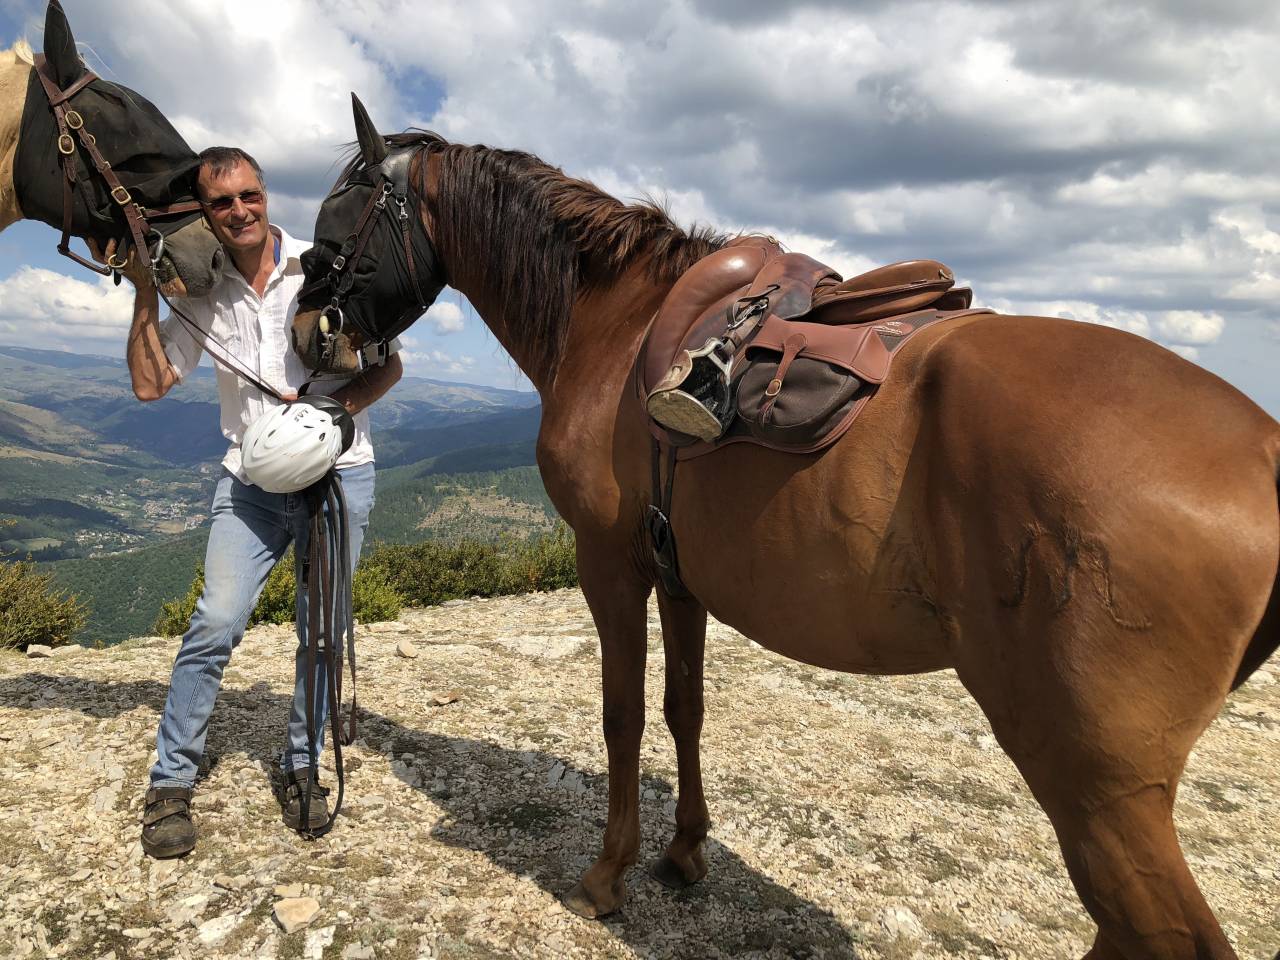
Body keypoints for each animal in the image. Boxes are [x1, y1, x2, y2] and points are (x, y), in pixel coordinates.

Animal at [290, 96, 1280, 960]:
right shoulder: (677, 569)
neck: (613, 322)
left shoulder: (609, 563)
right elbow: (683, 707)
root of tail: (1266, 451)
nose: (304, 330)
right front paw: (685, 850)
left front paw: (608, 875)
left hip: (1100, 786)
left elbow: (621, 715)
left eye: (339, 217)